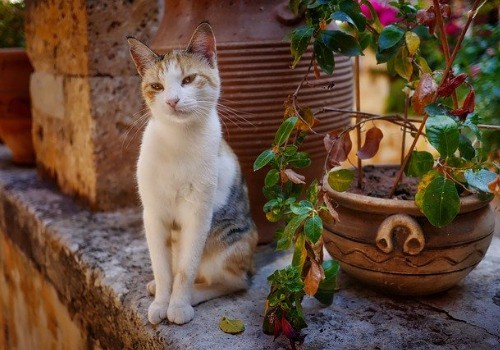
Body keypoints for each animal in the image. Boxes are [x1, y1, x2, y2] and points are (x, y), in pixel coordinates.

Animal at [127, 22, 258, 326]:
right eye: (157, 86)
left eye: (188, 80)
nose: (173, 100)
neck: (178, 140)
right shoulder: (153, 214)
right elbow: (163, 268)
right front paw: (161, 302)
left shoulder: (198, 214)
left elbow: (186, 270)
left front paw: (178, 305)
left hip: (228, 239)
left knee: (236, 281)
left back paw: (196, 293)